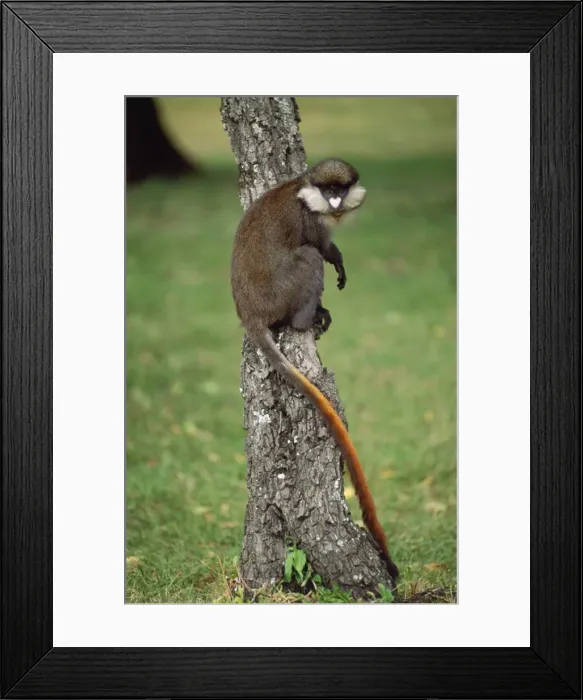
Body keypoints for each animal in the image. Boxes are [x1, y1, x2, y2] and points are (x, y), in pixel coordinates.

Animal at [231, 158, 399, 582]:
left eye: (340, 189)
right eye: (328, 191)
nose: (336, 202)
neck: (302, 188)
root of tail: (250, 313)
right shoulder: (312, 220)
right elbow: (321, 247)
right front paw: (337, 260)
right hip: (282, 292)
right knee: (307, 257)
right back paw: (307, 319)